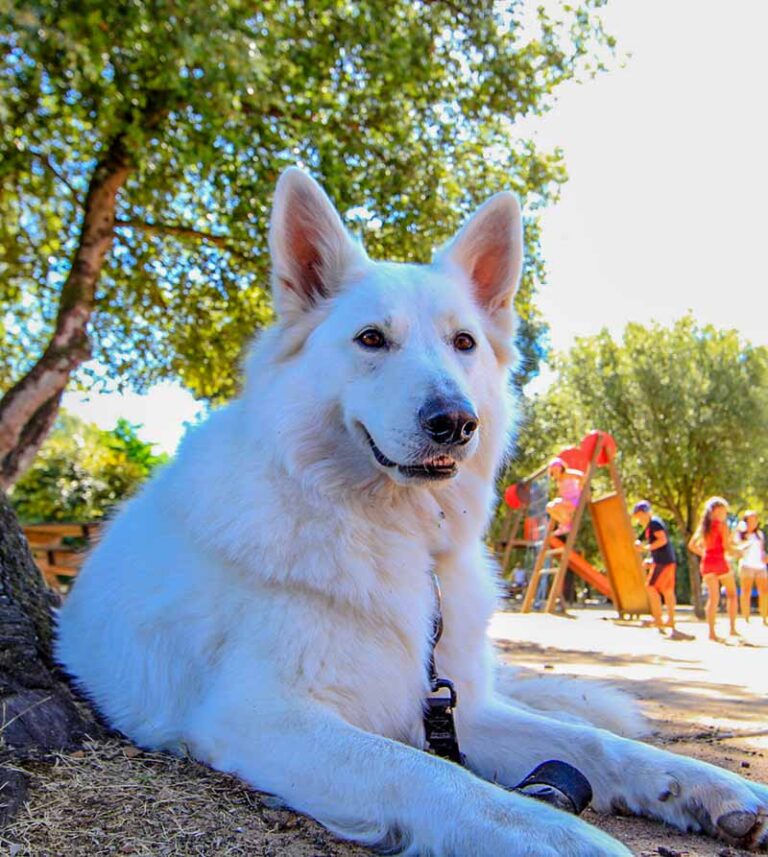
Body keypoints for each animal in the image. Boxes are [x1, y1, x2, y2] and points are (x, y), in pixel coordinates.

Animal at [57, 169, 768, 856]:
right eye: (372, 339)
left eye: (464, 342)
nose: (455, 422)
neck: (390, 532)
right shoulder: (263, 715)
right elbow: (442, 781)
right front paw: (565, 838)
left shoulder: (457, 707)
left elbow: (598, 746)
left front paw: (707, 787)